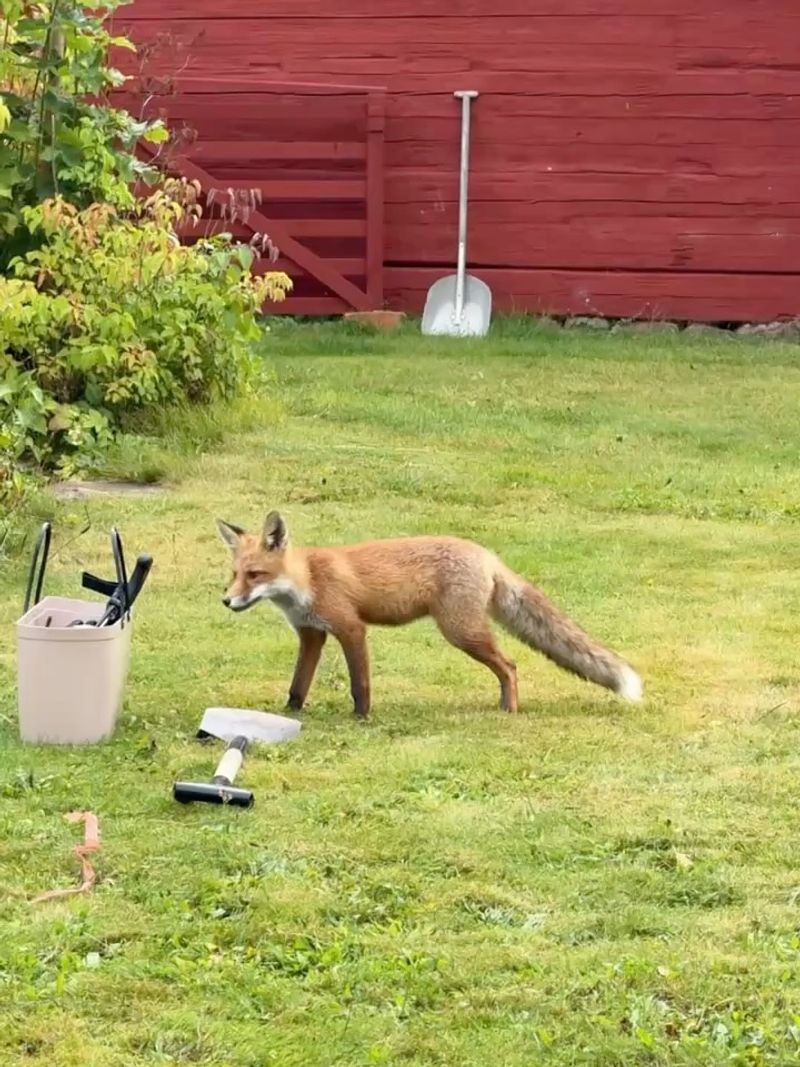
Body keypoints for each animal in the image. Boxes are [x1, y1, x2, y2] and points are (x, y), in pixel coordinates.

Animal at [216, 511, 643, 719]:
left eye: (255, 575)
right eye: (235, 574)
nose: (227, 601)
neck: (308, 580)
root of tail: (487, 554)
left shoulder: (352, 628)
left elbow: (360, 685)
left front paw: (362, 719)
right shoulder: (311, 634)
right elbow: (297, 686)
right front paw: (289, 714)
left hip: (461, 631)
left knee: (510, 665)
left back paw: (510, 710)